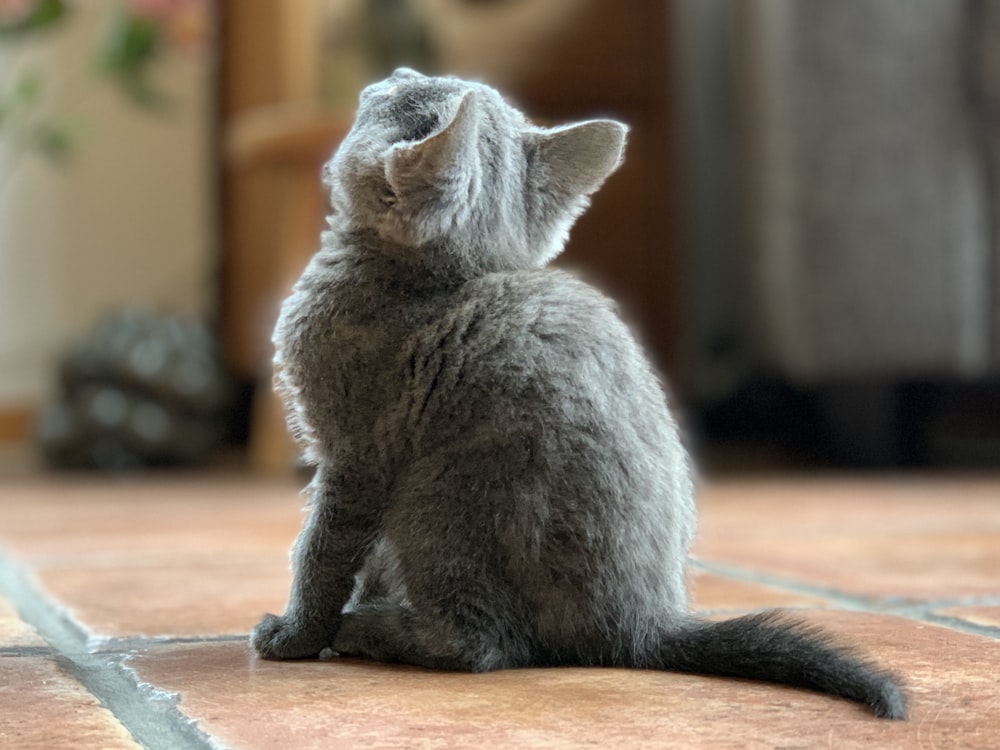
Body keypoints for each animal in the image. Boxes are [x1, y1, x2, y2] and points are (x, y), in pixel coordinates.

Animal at [250, 67, 908, 720]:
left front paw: (298, 633)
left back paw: (367, 628)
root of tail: (643, 625)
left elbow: (324, 548)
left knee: (481, 645)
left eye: (403, 96)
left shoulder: (356, 454)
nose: (395, 72)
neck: (431, 280)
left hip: (435, 500)